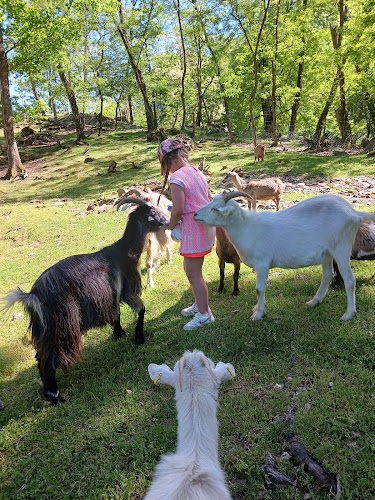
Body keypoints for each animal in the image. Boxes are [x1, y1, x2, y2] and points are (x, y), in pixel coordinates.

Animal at [2, 197, 170, 404]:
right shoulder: (127, 291)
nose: (168, 220)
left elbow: (116, 312)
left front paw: (119, 332)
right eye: (152, 212)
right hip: (63, 324)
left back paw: (47, 390)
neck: (123, 252)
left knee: (39, 355)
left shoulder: (112, 294)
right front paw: (138, 336)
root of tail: (33, 295)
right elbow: (141, 309)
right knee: (49, 358)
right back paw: (56, 396)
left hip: (44, 328)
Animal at [195, 191, 375, 320]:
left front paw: (258, 314)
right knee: (328, 275)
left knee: (350, 280)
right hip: (327, 253)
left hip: (341, 249)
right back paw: (314, 302)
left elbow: (259, 289)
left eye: (215, 208)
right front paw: (257, 309)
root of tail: (354, 213)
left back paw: (349, 314)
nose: (196, 214)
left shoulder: (262, 263)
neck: (246, 227)